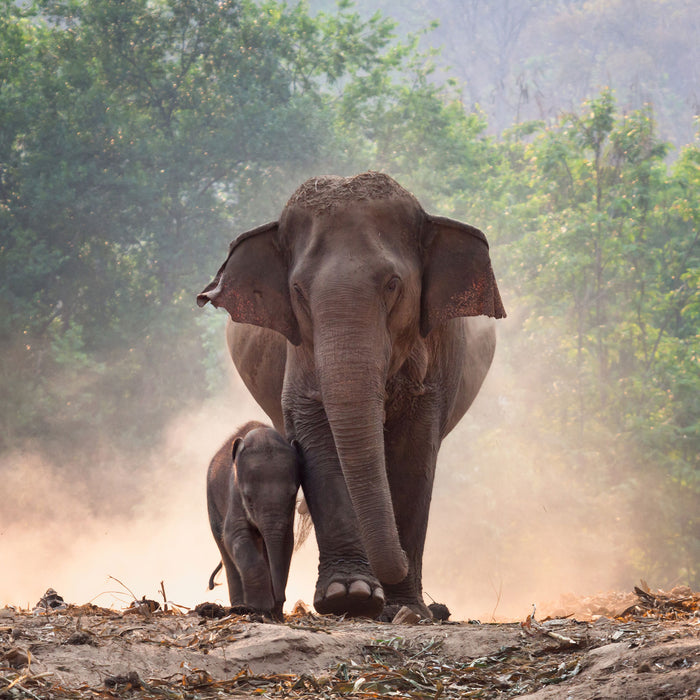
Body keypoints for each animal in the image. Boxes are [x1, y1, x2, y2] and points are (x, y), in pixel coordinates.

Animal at [204, 422, 300, 616]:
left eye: (293, 495)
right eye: (248, 498)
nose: (280, 599)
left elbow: (287, 542)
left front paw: (273, 612)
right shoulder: (234, 493)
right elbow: (235, 536)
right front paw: (261, 607)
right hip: (211, 500)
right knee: (223, 545)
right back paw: (240, 607)